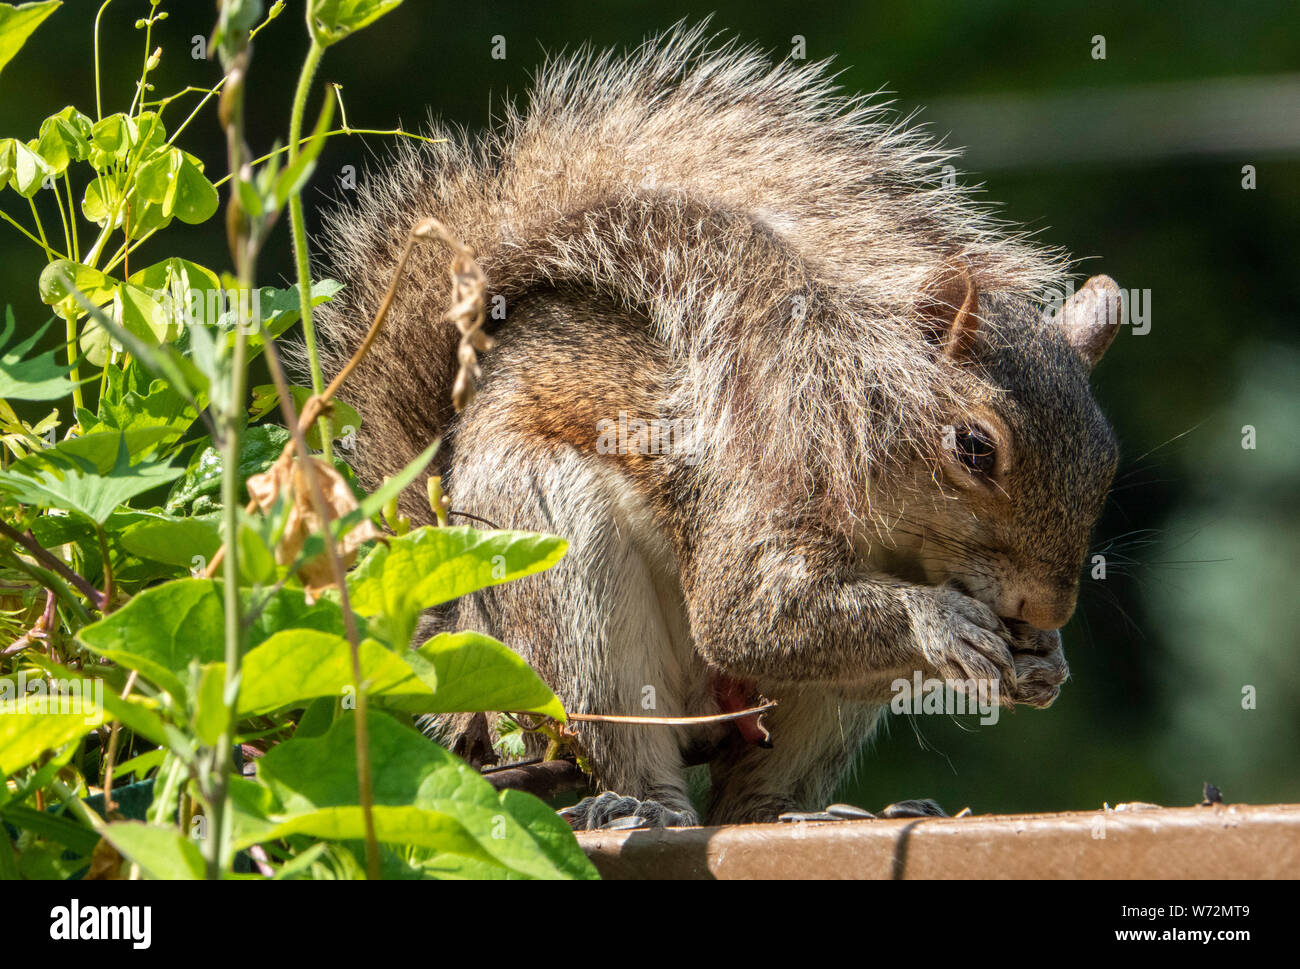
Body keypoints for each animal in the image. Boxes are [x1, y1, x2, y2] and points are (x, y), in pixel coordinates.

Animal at [309, 24, 1123, 822]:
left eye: (1108, 457)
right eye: (975, 447)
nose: (1049, 606)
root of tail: (458, 624)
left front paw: (1046, 662)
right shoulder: (758, 483)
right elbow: (746, 615)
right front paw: (942, 623)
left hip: (813, 709)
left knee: (752, 795)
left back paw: (810, 813)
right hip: (556, 567)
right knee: (617, 735)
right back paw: (645, 808)